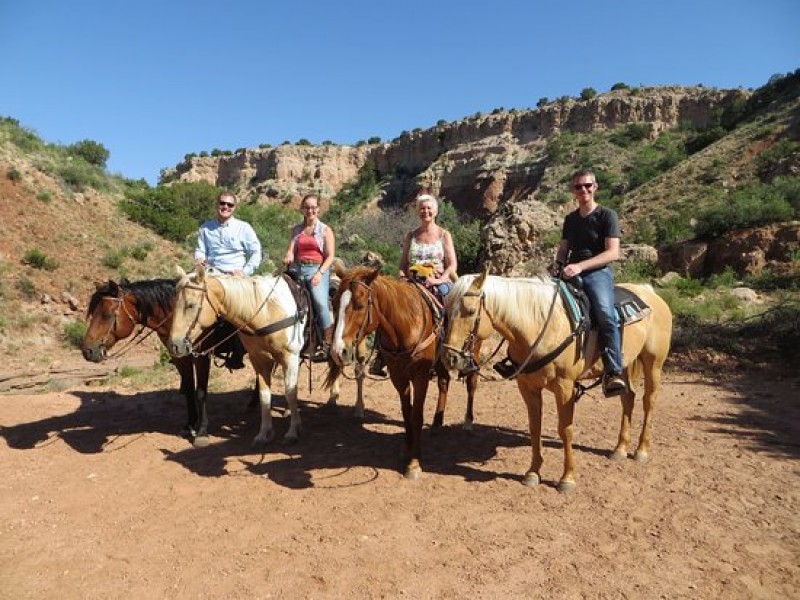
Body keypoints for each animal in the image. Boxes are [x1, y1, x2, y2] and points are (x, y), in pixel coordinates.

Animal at [82, 278, 228, 446]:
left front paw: (202, 432)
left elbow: (201, 393)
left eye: (106, 314)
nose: (87, 351)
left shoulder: (201, 355)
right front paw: (189, 425)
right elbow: (189, 389)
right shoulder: (180, 356)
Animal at [169, 268, 306, 446]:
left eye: (190, 305)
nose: (174, 345)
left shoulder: (290, 357)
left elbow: (290, 393)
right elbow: (264, 395)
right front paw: (264, 434)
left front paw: (292, 433)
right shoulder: (259, 359)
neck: (268, 312)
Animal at [326, 264, 482, 480]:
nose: (337, 351)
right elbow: (407, 413)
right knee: (444, 383)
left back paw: (468, 422)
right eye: (333, 302)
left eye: (360, 305)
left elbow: (416, 415)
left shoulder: (420, 376)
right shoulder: (398, 376)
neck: (406, 326)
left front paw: (414, 462)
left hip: (473, 353)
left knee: (472, 384)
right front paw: (407, 449)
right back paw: (437, 423)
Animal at [440, 272, 672, 492]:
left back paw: (641, 451)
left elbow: (565, 430)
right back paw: (620, 449)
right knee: (628, 398)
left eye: (470, 311)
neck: (540, 326)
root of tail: (649, 292)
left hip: (653, 363)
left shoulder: (565, 387)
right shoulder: (528, 387)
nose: (450, 357)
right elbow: (535, 427)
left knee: (648, 401)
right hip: (623, 364)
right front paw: (533, 473)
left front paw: (567, 479)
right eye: (446, 311)